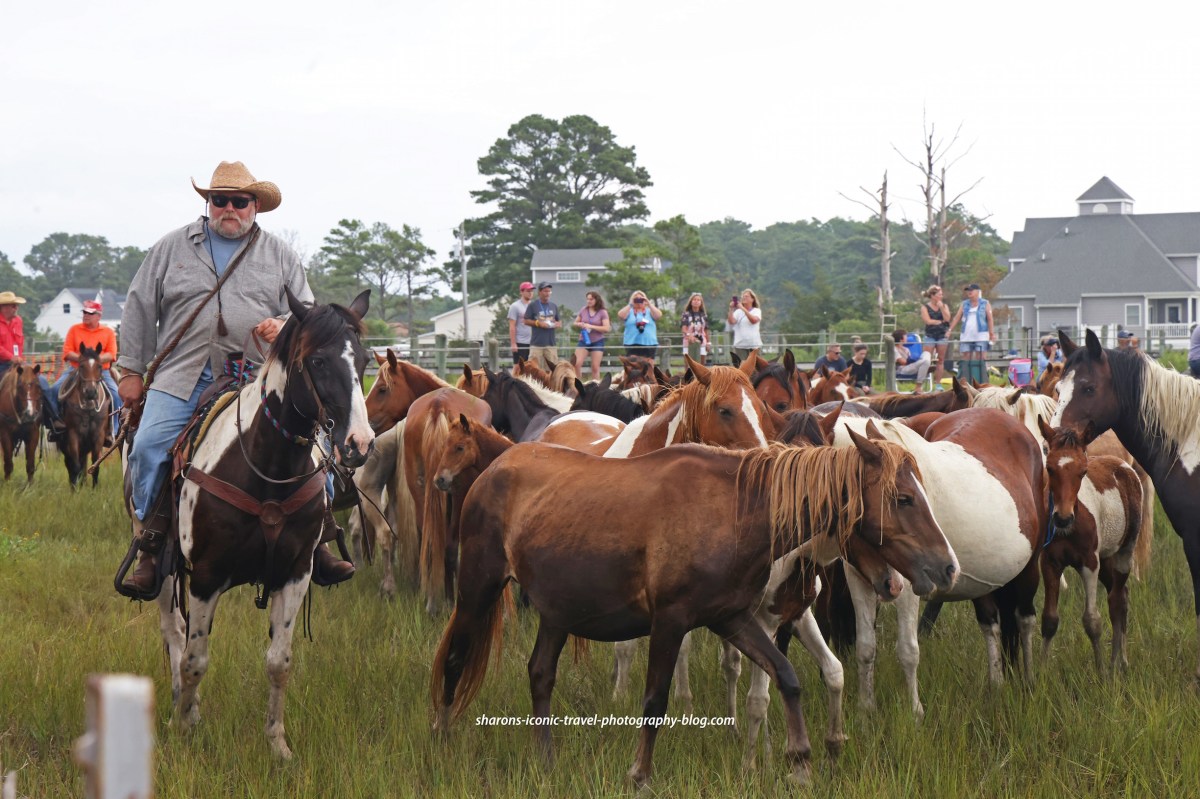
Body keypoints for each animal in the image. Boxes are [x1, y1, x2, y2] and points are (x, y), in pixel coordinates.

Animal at [58, 343, 113, 489]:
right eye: (82, 366)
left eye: (99, 366)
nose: (91, 392)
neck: (88, 408)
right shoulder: (73, 435)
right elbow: (75, 466)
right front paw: (76, 491)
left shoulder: (98, 436)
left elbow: (95, 465)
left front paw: (94, 491)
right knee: (70, 464)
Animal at [157, 289, 374, 760]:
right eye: (318, 361)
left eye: (366, 360)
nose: (360, 443)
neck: (268, 468)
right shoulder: (205, 575)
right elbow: (196, 660)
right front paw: (184, 727)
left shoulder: (296, 572)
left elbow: (279, 662)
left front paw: (277, 744)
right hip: (164, 571)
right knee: (176, 635)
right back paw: (181, 701)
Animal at [430, 434, 959, 789]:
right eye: (903, 498)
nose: (947, 567)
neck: (736, 510)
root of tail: (492, 470)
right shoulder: (670, 622)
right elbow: (654, 701)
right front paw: (640, 774)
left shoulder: (734, 619)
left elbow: (787, 677)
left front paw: (800, 760)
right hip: (478, 590)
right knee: (455, 662)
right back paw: (443, 740)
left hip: (558, 613)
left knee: (540, 675)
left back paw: (547, 761)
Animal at [1036, 417, 1143, 673]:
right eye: (1050, 468)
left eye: (1083, 471)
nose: (1062, 518)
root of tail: (1123, 465)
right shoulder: (1050, 562)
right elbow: (1049, 619)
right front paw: (1041, 672)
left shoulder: (1089, 563)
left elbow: (1092, 620)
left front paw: (1102, 672)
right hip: (1106, 559)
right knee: (1121, 594)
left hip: (1123, 553)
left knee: (1117, 600)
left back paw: (1118, 662)